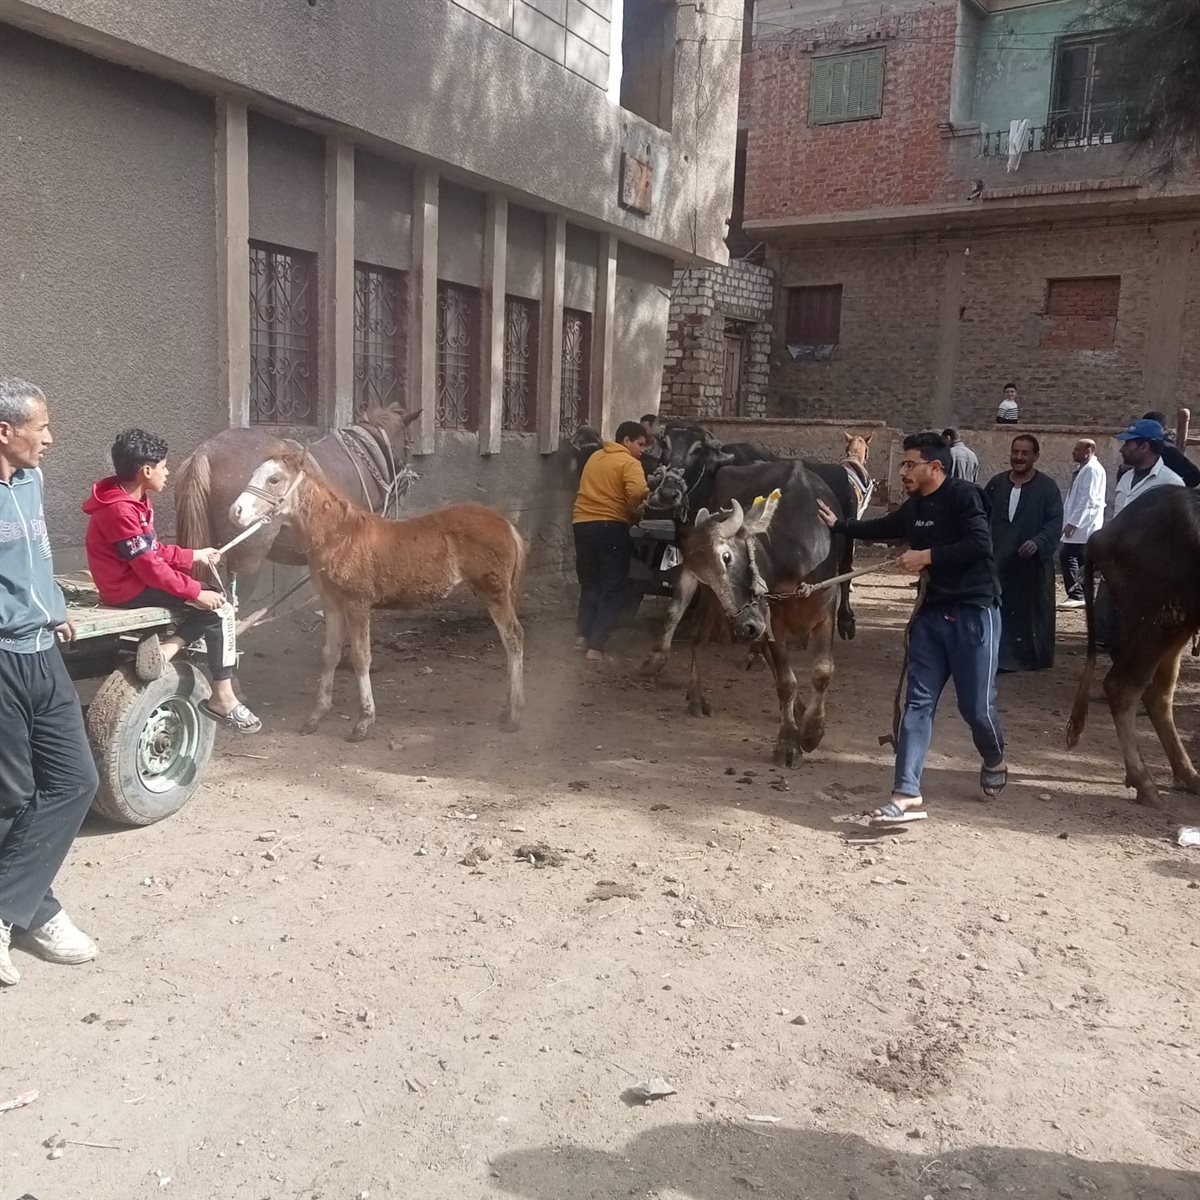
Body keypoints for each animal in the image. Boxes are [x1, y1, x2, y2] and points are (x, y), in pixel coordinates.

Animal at [229, 452, 527, 741]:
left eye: (274, 479)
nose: (235, 512)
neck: (340, 537)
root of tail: (506, 524)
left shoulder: (357, 604)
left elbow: (361, 657)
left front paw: (363, 723)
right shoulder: (332, 606)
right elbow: (329, 654)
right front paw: (315, 718)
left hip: (494, 593)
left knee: (513, 638)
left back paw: (514, 716)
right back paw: (507, 709)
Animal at [641, 459, 848, 767]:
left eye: (727, 557)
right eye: (707, 574)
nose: (745, 626)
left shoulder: (826, 611)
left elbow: (822, 672)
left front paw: (812, 733)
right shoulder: (773, 622)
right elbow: (786, 681)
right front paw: (789, 744)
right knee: (688, 626)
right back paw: (691, 693)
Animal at [1066, 485, 1200, 808]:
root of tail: (1103, 534)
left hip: (1175, 628)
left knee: (1157, 694)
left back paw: (1187, 775)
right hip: (1157, 623)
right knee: (1123, 686)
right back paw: (1145, 783)